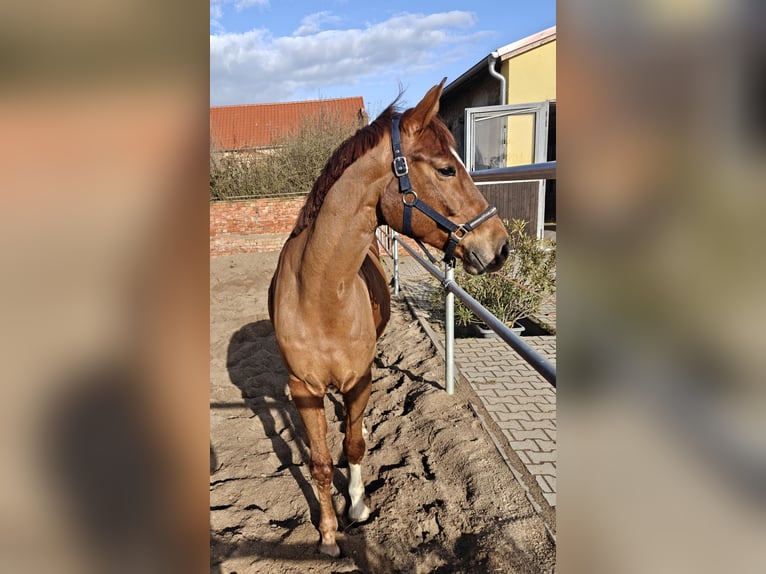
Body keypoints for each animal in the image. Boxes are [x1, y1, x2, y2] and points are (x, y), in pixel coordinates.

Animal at [267, 79, 510, 557]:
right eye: (446, 170)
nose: (501, 246)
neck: (319, 295)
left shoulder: (359, 378)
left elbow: (354, 446)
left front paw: (358, 507)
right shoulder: (302, 389)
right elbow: (320, 463)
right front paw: (328, 535)